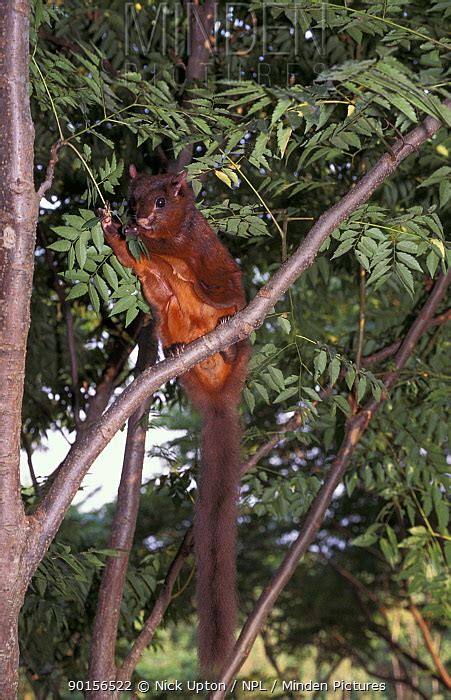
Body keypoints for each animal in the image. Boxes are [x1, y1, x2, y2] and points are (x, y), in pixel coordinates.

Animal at [97, 167, 251, 676]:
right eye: (133, 196)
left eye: (162, 200)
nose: (138, 216)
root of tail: (219, 393)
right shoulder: (149, 269)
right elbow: (135, 263)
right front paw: (112, 228)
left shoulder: (193, 246)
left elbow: (170, 253)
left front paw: (130, 231)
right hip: (168, 316)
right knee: (166, 305)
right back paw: (179, 350)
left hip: (226, 306)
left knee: (221, 304)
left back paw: (227, 341)